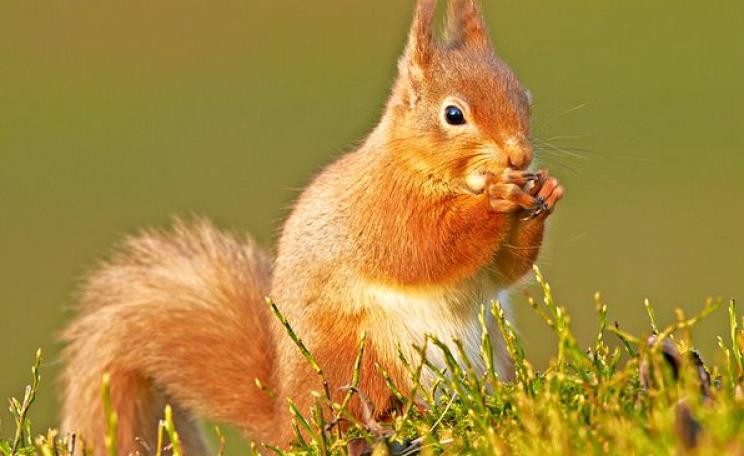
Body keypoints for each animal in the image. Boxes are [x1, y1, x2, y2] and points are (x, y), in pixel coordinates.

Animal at [60, 0, 564, 453]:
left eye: (525, 98)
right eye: (453, 114)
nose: (519, 155)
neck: (426, 171)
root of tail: (288, 422)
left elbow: (504, 270)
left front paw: (546, 191)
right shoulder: (380, 211)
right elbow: (423, 249)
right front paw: (496, 200)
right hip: (360, 358)